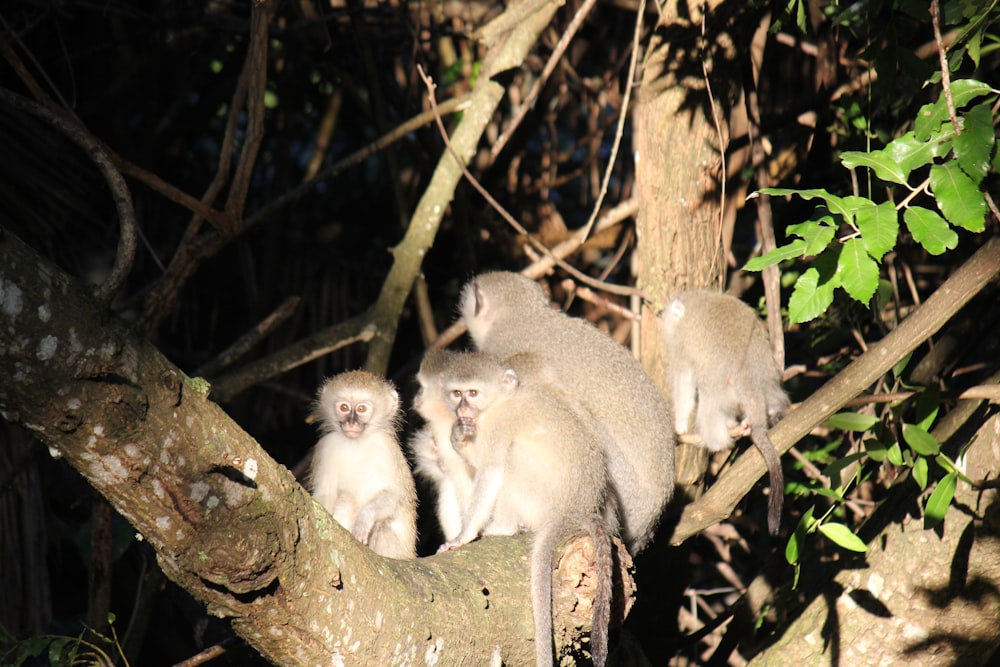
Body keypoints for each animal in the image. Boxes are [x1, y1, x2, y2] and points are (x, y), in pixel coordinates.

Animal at [308, 370, 418, 560]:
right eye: (344, 408)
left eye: (361, 409)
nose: (351, 423)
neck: (355, 444)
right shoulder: (326, 447)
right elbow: (324, 496)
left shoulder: (385, 448)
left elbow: (396, 495)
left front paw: (363, 520)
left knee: (383, 527)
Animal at [432, 350, 612, 667]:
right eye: (457, 394)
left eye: (473, 393)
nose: (463, 409)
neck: (500, 400)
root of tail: (572, 512)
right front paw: (458, 435)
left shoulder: (497, 426)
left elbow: (490, 470)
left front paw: (462, 537)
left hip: (539, 497)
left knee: (511, 458)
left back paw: (502, 528)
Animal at [660, 290, 792, 536]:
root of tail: (747, 373)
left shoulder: (682, 345)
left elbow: (685, 380)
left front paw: (679, 426)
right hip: (766, 376)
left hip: (719, 381)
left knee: (708, 399)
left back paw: (714, 440)